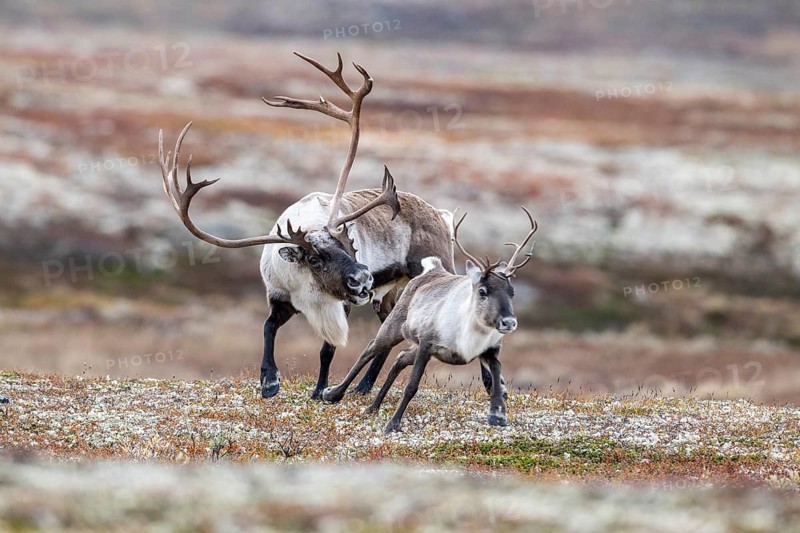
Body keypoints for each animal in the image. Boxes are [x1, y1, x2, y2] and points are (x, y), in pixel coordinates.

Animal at [158, 52, 475, 400]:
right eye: (313, 258)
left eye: (348, 245)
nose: (363, 277)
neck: (308, 289)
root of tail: (441, 215)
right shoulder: (279, 297)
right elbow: (267, 328)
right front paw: (269, 382)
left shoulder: (342, 304)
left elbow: (327, 350)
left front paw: (321, 389)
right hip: (387, 294)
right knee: (386, 330)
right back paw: (363, 386)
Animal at [324, 208, 537, 434]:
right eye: (482, 291)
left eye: (512, 292)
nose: (509, 322)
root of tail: (433, 268)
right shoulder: (427, 343)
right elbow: (411, 386)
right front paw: (393, 424)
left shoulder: (489, 351)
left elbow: (496, 376)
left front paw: (498, 415)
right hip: (396, 326)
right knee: (370, 348)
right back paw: (333, 393)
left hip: (416, 346)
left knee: (400, 358)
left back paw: (373, 407)